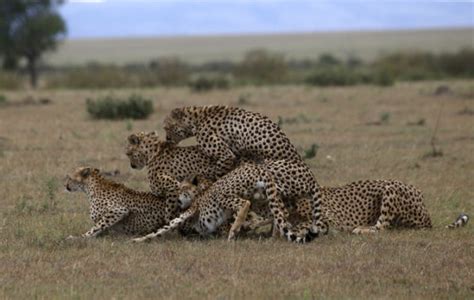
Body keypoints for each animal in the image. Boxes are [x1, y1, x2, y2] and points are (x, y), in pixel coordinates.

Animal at [131, 159, 328, 244]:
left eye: (181, 189)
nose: (177, 198)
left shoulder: (191, 211)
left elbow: (167, 226)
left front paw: (139, 239)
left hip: (227, 196)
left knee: (245, 204)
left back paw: (234, 233)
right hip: (263, 194)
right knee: (281, 212)